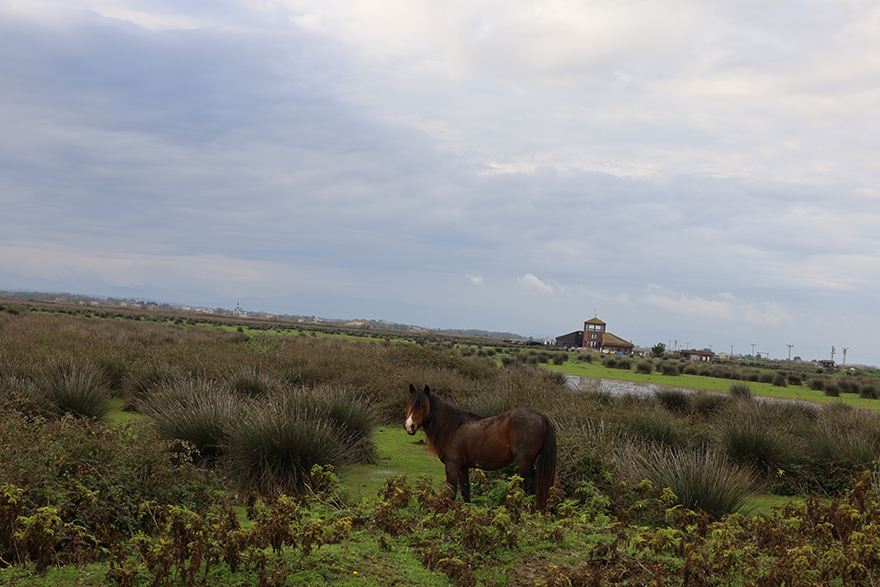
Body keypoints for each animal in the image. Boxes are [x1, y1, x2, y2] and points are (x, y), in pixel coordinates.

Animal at [406, 386, 556, 510]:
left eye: (423, 405)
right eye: (409, 404)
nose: (409, 426)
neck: (452, 428)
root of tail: (542, 418)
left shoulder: (452, 465)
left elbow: (452, 493)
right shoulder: (462, 468)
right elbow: (466, 492)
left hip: (524, 461)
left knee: (530, 485)